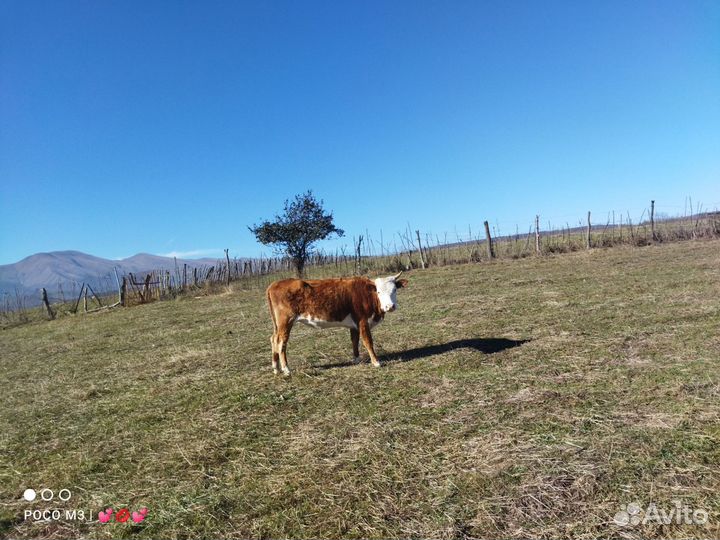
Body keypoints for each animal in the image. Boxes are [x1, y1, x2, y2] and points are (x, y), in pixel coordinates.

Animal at [265, 271, 408, 375]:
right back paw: (286, 369)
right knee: (281, 342)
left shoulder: (354, 325)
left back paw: (276, 368)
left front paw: (356, 359)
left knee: (273, 339)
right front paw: (376, 362)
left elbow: (354, 341)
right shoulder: (363, 322)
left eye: (394, 290)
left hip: (278, 325)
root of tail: (274, 284)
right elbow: (368, 342)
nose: (390, 306)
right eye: (378, 291)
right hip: (286, 321)